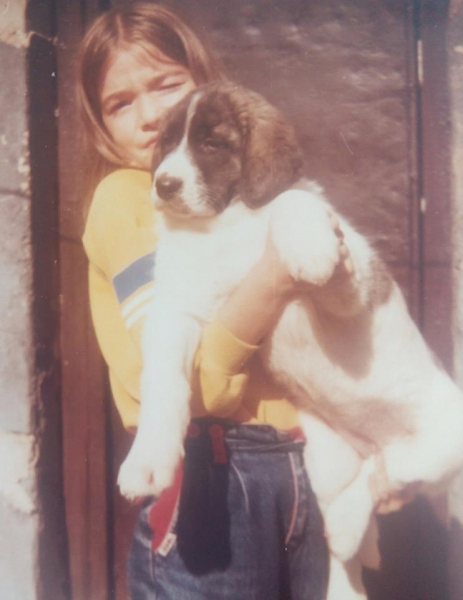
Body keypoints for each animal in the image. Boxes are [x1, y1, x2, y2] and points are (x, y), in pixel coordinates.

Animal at [118, 81, 463, 600]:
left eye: (211, 144)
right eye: (167, 142)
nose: (164, 184)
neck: (225, 226)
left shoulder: (351, 289)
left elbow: (289, 202)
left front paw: (309, 249)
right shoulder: (178, 311)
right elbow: (163, 381)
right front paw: (148, 459)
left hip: (445, 435)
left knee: (391, 468)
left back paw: (344, 523)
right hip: (326, 457)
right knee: (364, 506)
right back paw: (344, 556)